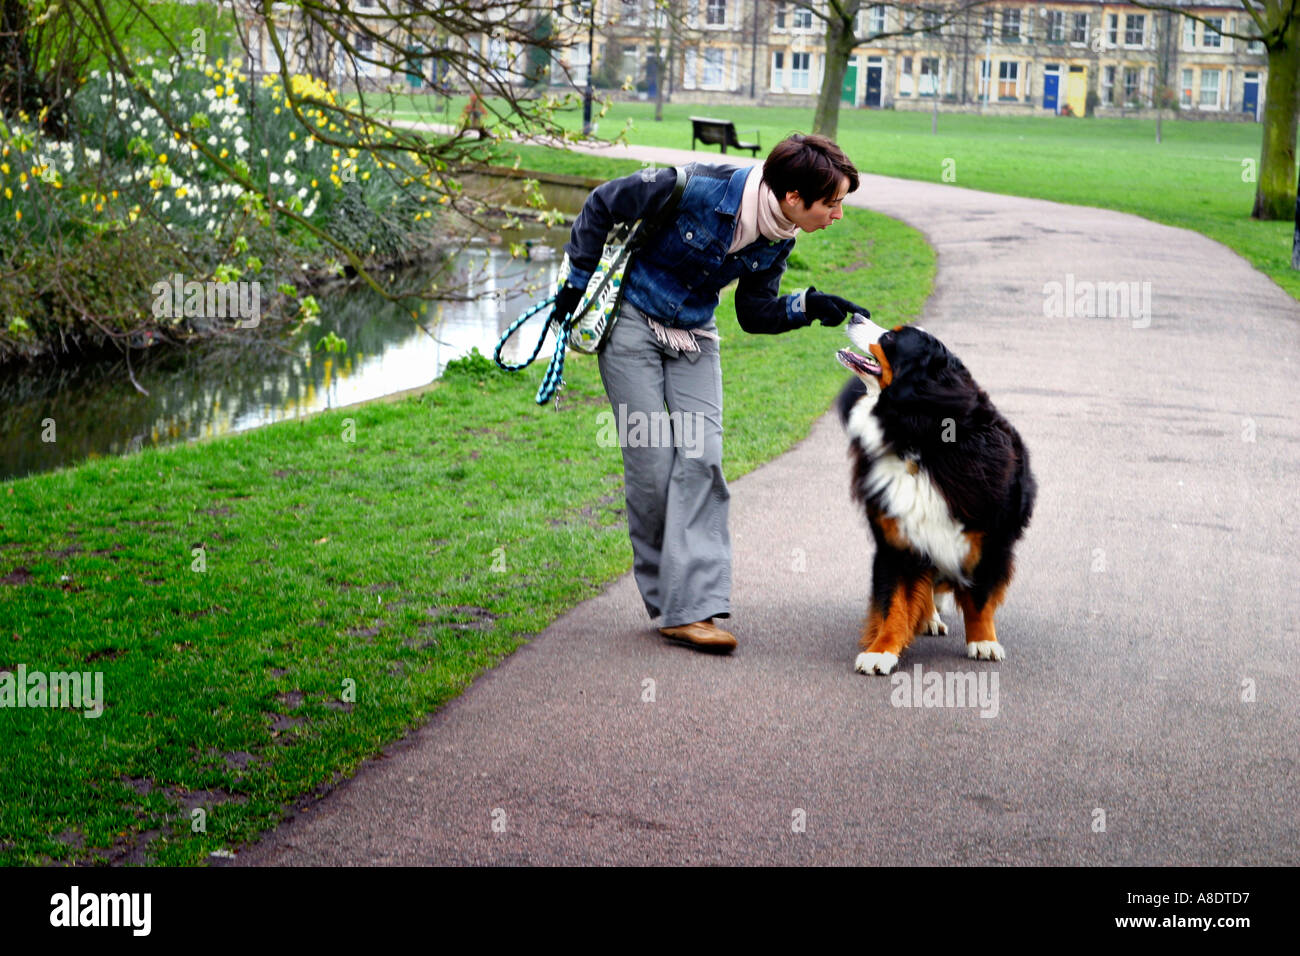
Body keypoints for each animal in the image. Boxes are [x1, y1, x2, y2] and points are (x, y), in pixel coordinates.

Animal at [837, 317, 1040, 676]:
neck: (917, 440)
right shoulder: (897, 537)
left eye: (890, 338)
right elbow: (894, 602)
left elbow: (980, 599)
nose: (854, 316)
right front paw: (882, 650)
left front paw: (983, 641)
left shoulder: (990, 540)